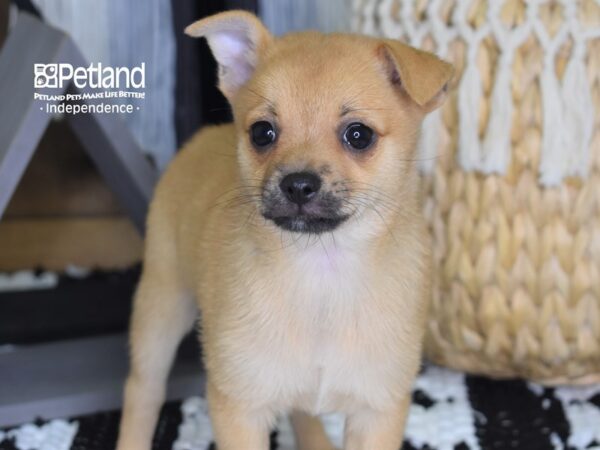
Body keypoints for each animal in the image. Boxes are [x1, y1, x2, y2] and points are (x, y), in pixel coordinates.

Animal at [117, 10, 452, 450]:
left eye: (358, 135)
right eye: (263, 133)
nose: (298, 184)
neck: (321, 272)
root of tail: (201, 137)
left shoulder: (376, 409)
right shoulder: (240, 406)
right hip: (161, 305)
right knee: (143, 389)